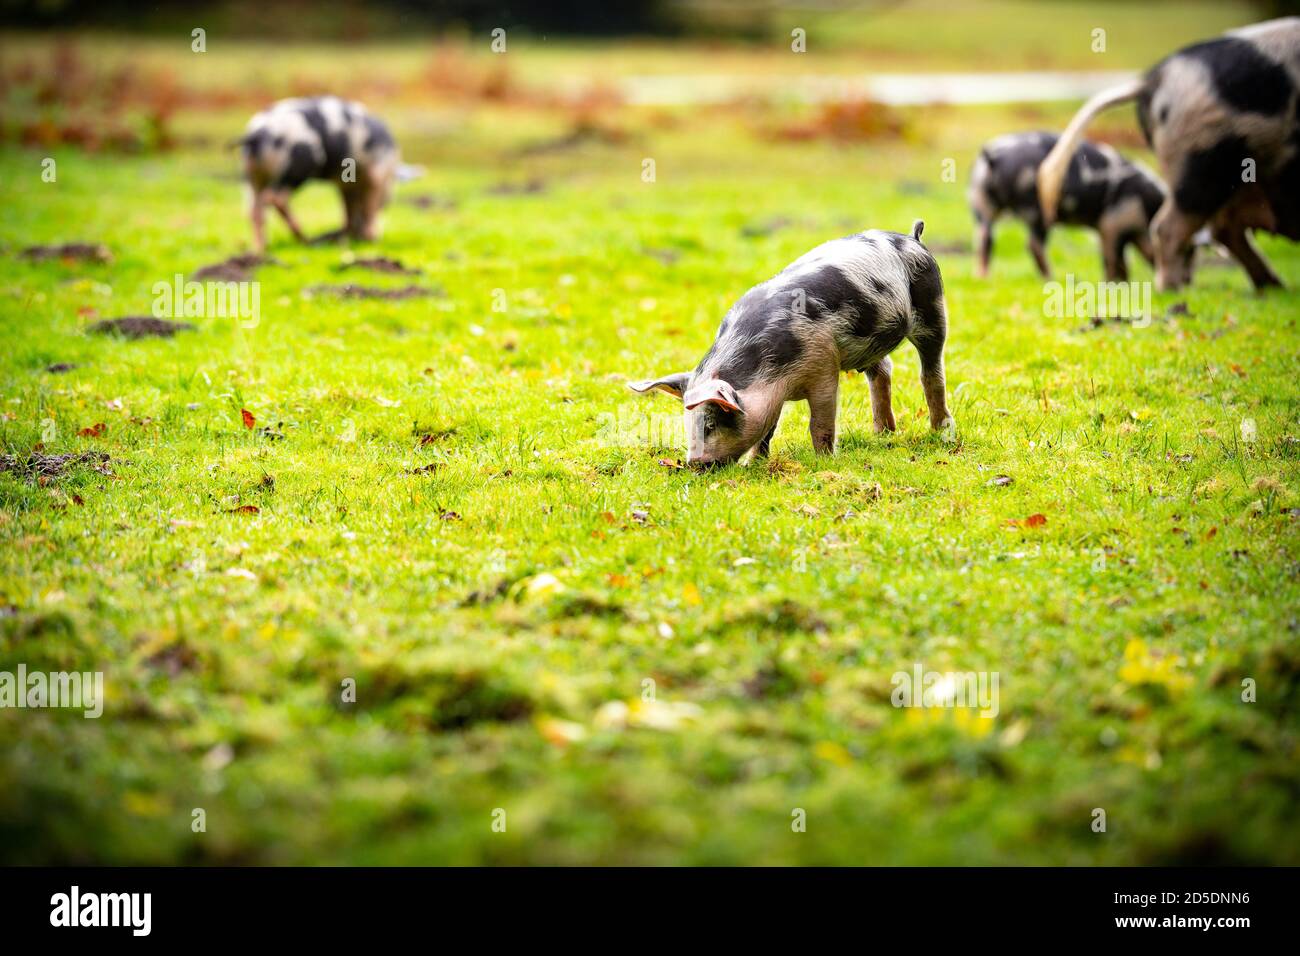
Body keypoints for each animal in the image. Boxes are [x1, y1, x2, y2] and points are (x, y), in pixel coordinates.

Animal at [239, 96, 400, 254]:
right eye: (387, 202)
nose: (359, 238)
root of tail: (256, 134)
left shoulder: (344, 184)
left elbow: (348, 211)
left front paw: (350, 238)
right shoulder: (376, 175)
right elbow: (368, 207)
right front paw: (371, 240)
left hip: (253, 175)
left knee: (255, 211)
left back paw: (260, 250)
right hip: (298, 164)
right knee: (275, 198)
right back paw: (306, 240)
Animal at [629, 221, 956, 468]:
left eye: (711, 424)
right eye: (690, 424)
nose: (694, 464)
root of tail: (912, 238)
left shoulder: (825, 366)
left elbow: (820, 421)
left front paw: (824, 460)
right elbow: (768, 427)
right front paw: (755, 463)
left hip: (933, 307)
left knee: (931, 372)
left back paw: (942, 431)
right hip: (870, 340)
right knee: (883, 370)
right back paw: (882, 434)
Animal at [967, 134, 1170, 283]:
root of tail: (993, 158)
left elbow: (1120, 258)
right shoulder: (1113, 222)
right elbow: (1113, 258)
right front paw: (1116, 283)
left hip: (980, 201)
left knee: (985, 239)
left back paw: (982, 278)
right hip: (1036, 209)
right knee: (1033, 244)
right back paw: (1051, 278)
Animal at [1034, 15, 1300, 291]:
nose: (1190, 278)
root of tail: (1153, 78)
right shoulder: (1115, 222)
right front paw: (1118, 283)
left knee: (1222, 228)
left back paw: (1272, 286)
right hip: (1201, 164)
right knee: (1173, 228)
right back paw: (1174, 290)